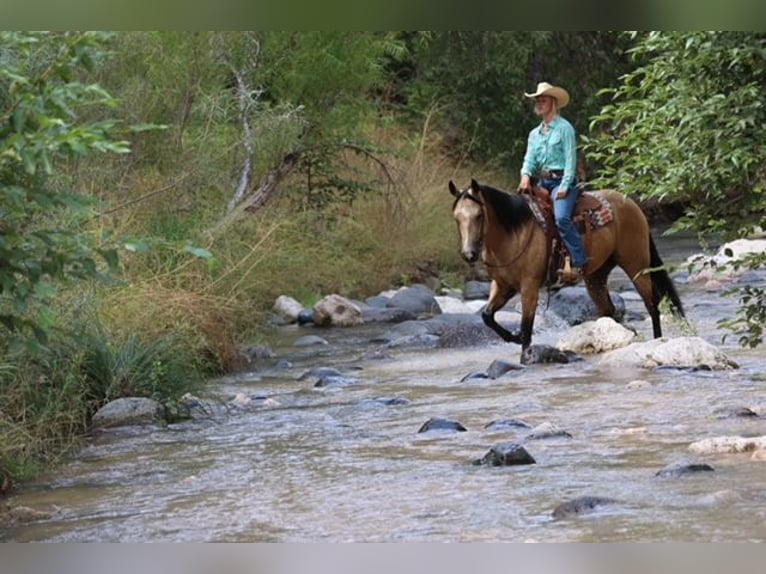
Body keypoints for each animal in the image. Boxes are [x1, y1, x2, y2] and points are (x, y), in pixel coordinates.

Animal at [448, 178, 688, 354]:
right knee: (608, 310)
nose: (469, 254)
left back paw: (657, 340)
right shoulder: (502, 285)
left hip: (636, 264)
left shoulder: (529, 287)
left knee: (652, 304)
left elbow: (526, 327)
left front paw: (524, 354)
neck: (514, 233)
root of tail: (632, 204)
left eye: (479, 215)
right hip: (596, 277)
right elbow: (487, 316)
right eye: (457, 218)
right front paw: (512, 337)